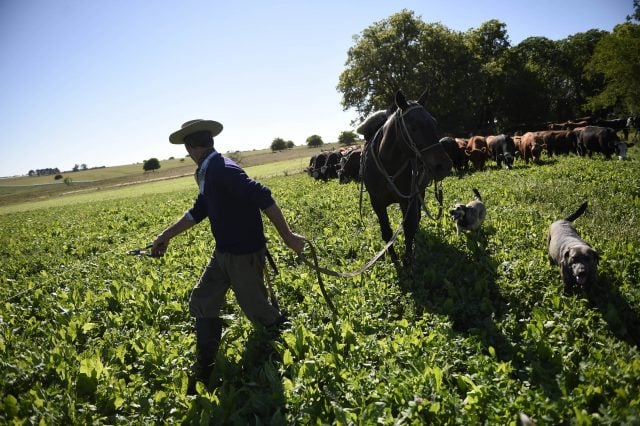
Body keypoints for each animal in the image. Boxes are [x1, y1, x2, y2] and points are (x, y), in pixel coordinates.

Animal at [360, 90, 456, 266]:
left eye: (434, 123)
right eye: (413, 127)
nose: (444, 165)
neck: (389, 166)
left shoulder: (408, 200)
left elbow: (408, 228)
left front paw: (408, 259)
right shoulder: (377, 202)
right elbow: (386, 231)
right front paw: (393, 258)